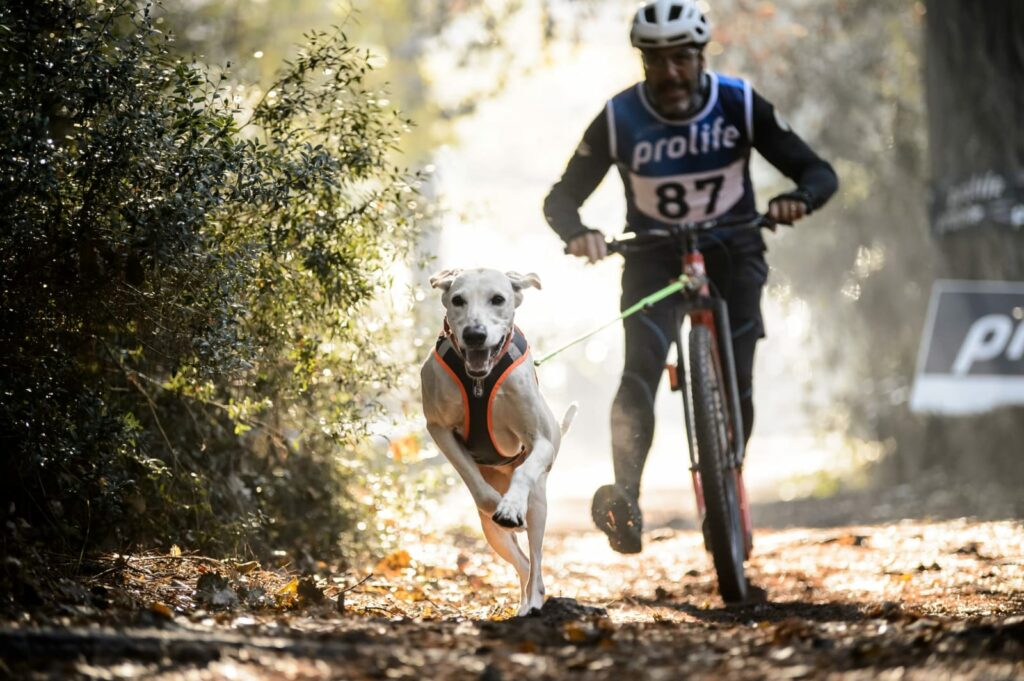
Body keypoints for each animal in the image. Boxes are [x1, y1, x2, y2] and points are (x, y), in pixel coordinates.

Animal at [417, 266, 577, 614]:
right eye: (458, 300)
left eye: (498, 299)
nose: (474, 334)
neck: (481, 380)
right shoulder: (439, 428)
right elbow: (473, 480)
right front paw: (497, 505)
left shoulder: (542, 441)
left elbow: (525, 471)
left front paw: (512, 506)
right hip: (492, 534)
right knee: (523, 563)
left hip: (540, 505)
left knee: (536, 564)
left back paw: (534, 603)